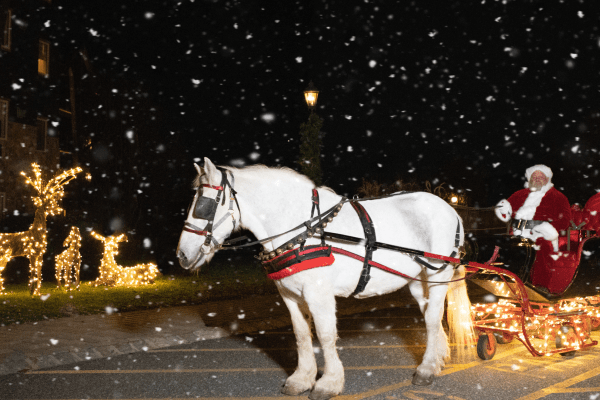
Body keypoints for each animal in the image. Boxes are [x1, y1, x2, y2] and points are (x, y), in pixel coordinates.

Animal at [177, 158, 474, 398]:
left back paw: (426, 369)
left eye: (203, 205)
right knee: (429, 313)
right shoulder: (289, 294)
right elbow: (301, 334)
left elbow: (325, 334)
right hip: (417, 279)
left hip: (439, 272)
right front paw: (302, 379)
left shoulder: (318, 293)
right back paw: (437, 358)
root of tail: (450, 209)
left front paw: (328, 383)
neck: (302, 229)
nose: (182, 254)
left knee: (433, 318)